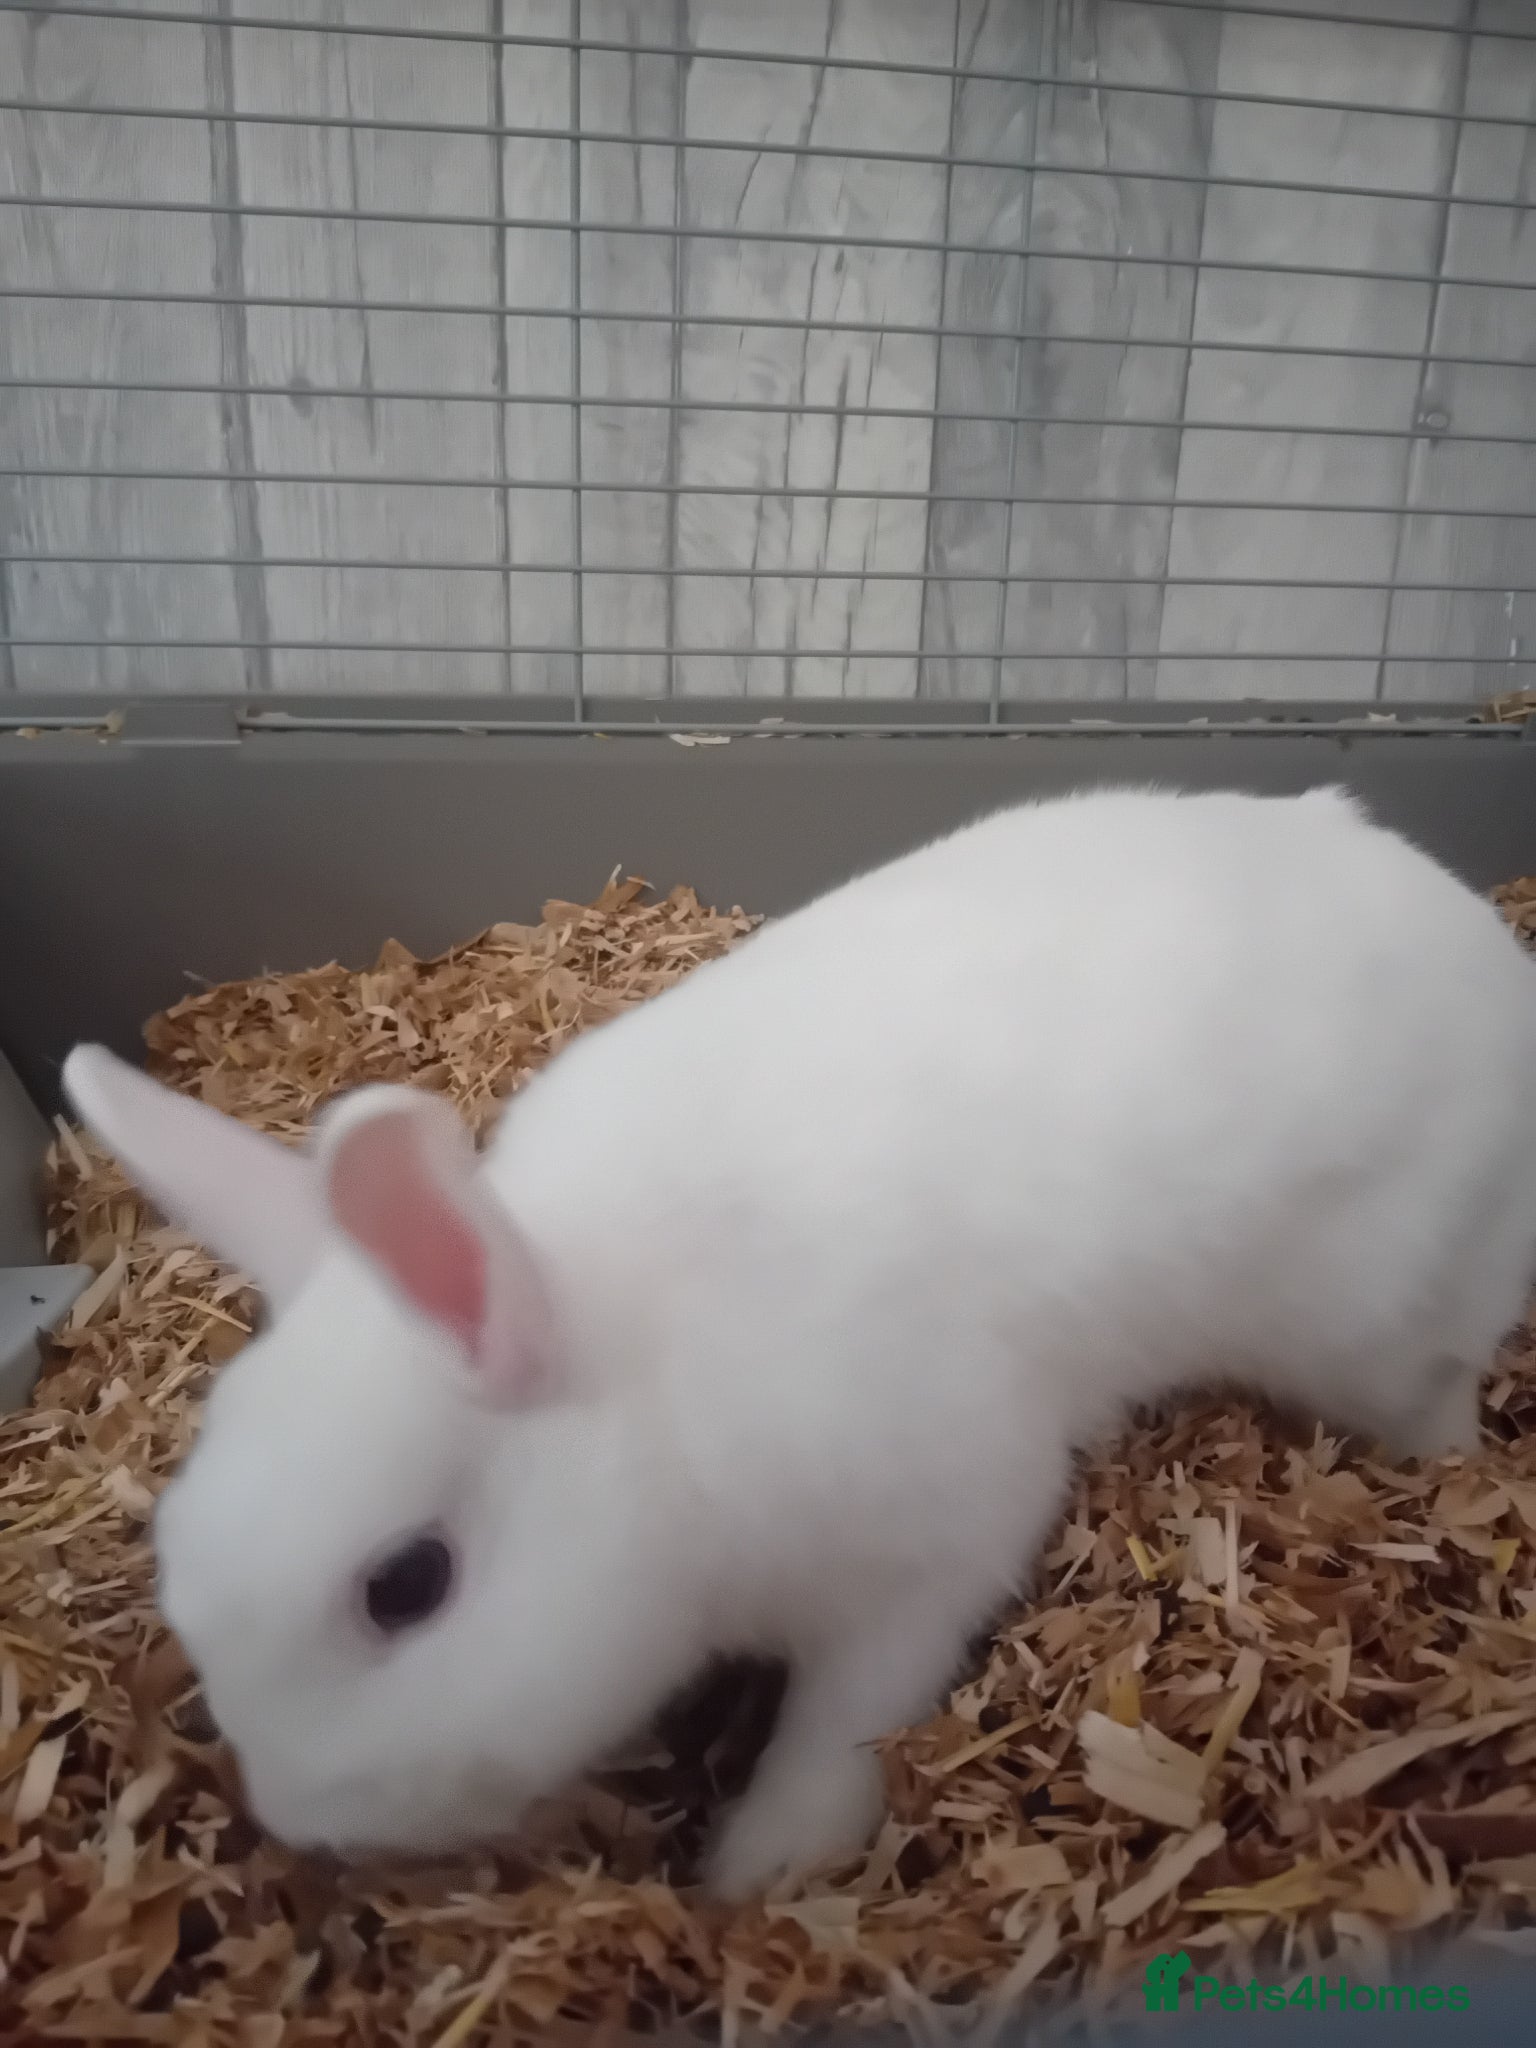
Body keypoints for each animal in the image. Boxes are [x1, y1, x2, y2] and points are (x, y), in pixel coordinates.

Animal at [62, 784, 1536, 1903]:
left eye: (406, 1585)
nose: (300, 1816)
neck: (648, 1382)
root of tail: (1491, 956)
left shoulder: (931, 1548)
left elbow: (847, 1719)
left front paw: (757, 1869)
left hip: (1387, 1326)